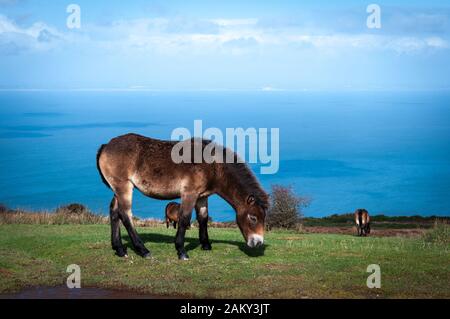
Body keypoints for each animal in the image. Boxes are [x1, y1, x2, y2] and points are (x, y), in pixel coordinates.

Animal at [96, 134, 268, 262]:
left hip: (118, 190)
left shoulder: (202, 197)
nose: (258, 242)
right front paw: (181, 251)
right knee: (125, 215)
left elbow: (203, 218)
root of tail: (106, 146)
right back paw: (143, 250)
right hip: (124, 187)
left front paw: (206, 245)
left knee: (114, 212)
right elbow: (184, 219)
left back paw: (119, 249)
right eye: (253, 218)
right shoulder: (189, 194)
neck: (212, 165)